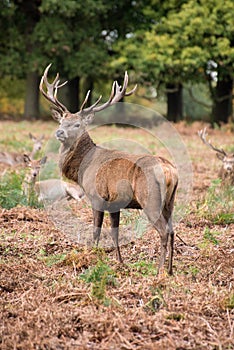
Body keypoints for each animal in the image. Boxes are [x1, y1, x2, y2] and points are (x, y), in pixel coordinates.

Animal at [39, 64, 177, 274]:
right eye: (61, 121)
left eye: (77, 124)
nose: (59, 132)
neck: (83, 168)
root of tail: (170, 171)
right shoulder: (115, 202)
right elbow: (114, 232)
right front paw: (120, 262)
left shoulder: (97, 196)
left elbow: (96, 231)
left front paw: (92, 258)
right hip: (170, 201)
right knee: (173, 229)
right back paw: (169, 270)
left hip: (150, 198)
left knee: (164, 230)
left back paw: (159, 271)